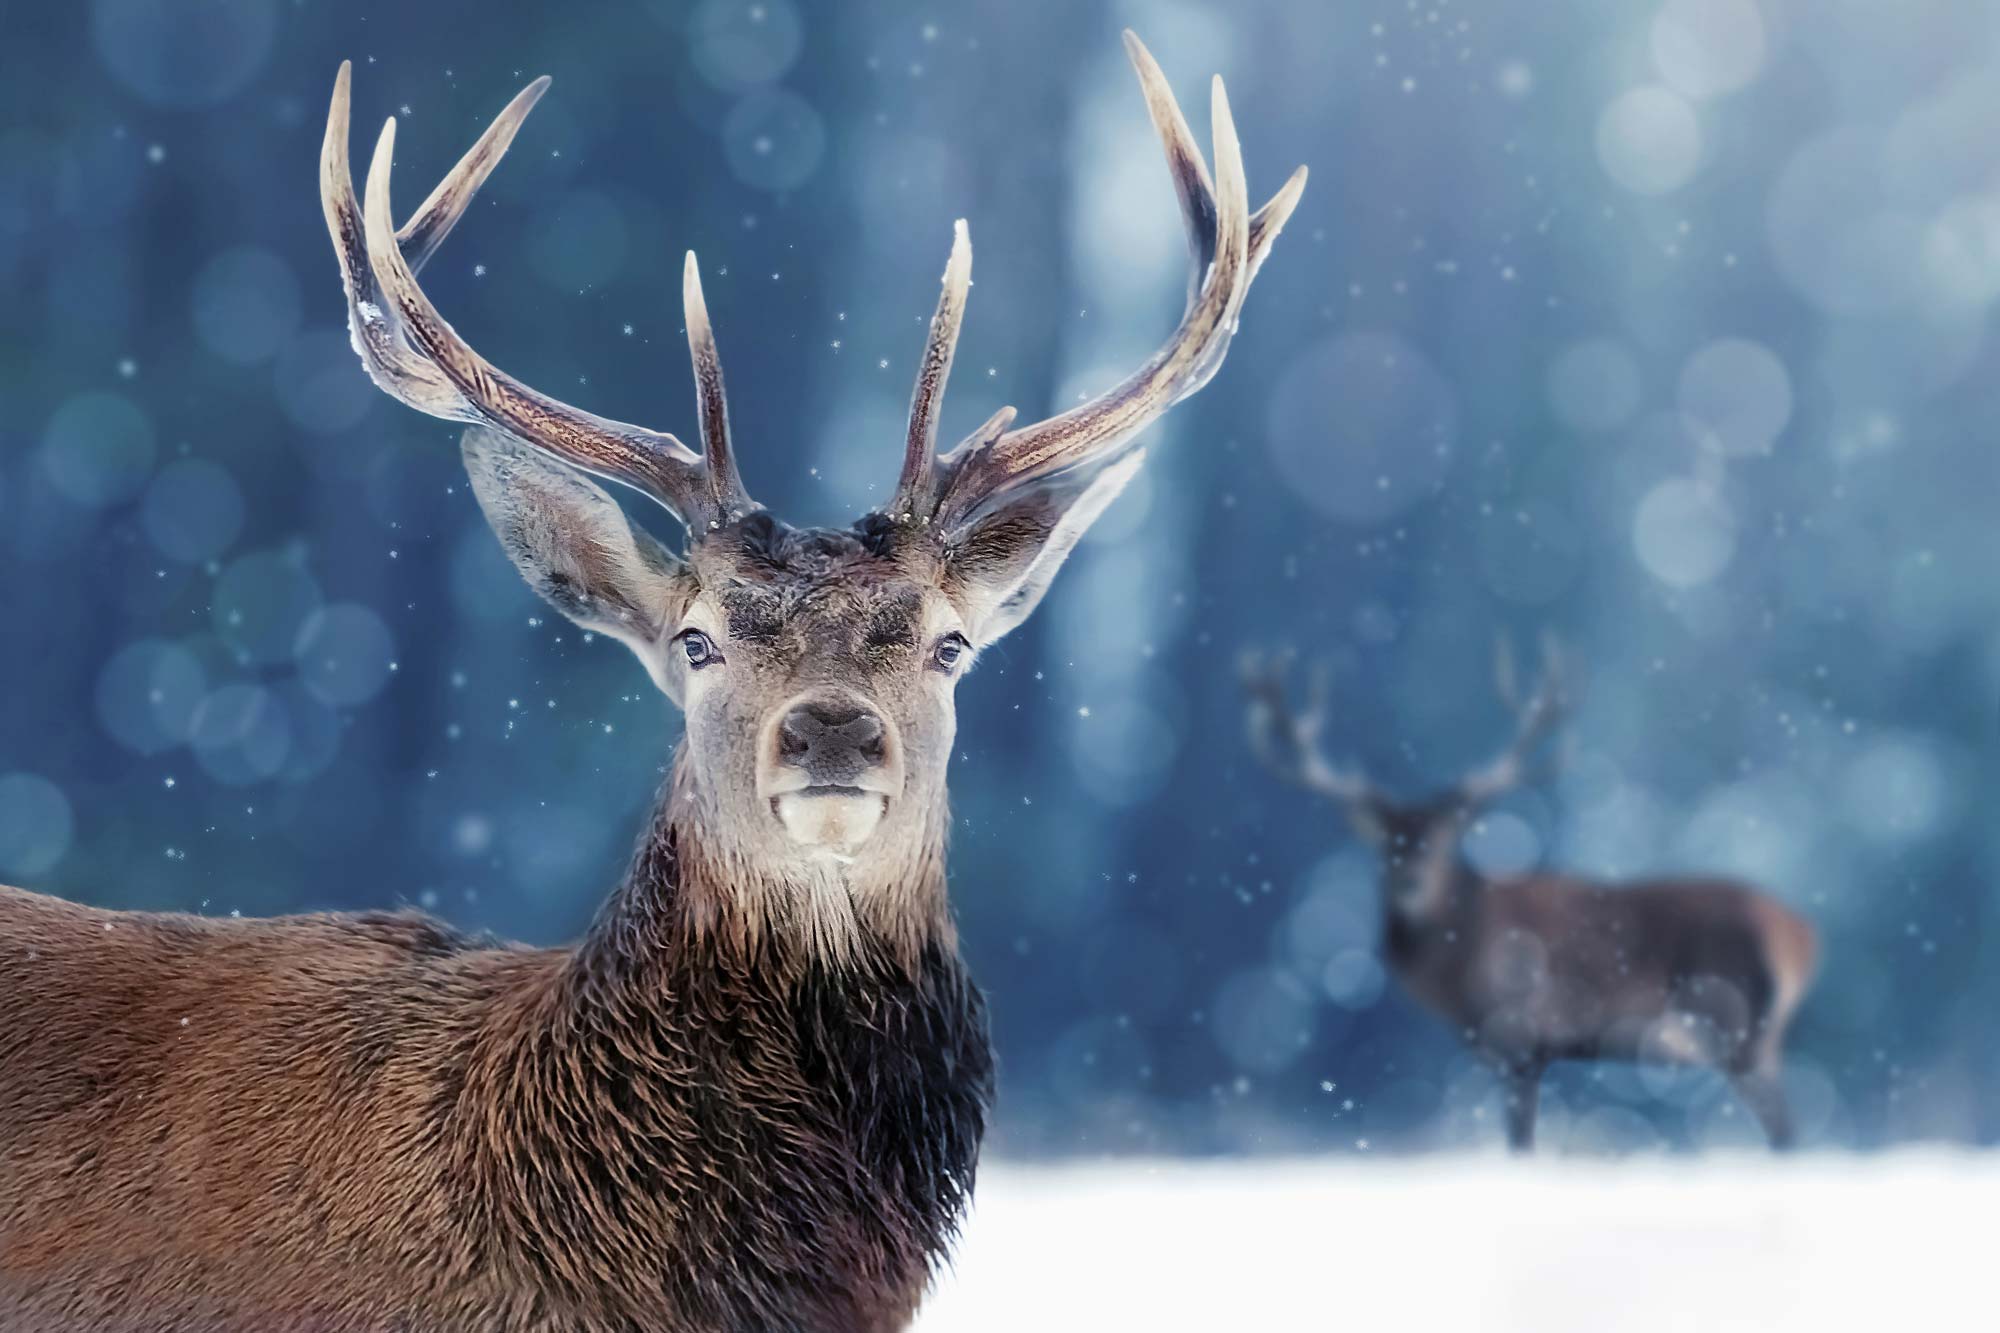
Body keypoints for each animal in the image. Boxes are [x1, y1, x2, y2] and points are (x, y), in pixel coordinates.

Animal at [1241, 640, 1818, 1153]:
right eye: (1386, 843)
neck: (1456, 975)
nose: (1410, 882)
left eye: (1444, 837)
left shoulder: (1520, 1037)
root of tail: (1803, 938)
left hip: (1742, 1026)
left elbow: (1522, 1145)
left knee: (1788, 1133)